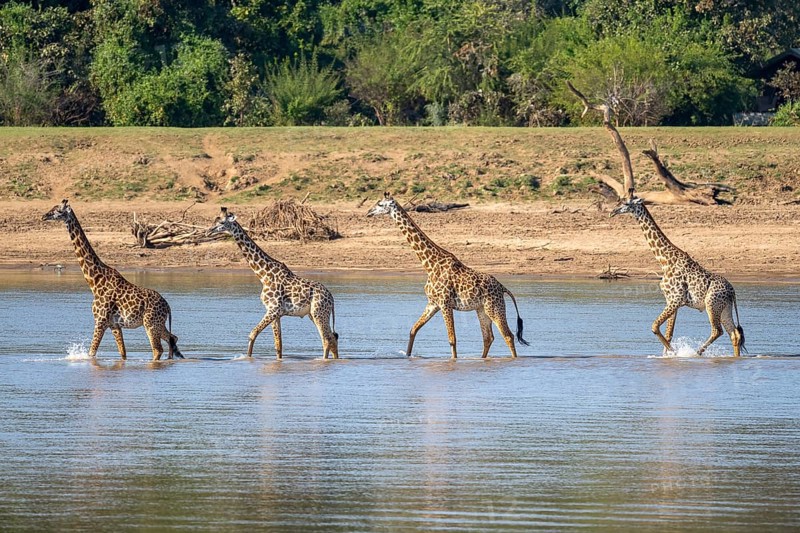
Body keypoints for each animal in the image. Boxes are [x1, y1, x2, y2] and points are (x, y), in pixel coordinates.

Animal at [42, 199, 182, 360]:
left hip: (150, 323)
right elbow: (123, 354)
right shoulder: (114, 325)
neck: (94, 282)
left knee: (158, 349)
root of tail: (168, 307)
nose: (44, 216)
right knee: (172, 338)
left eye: (58, 211)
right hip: (158, 324)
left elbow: (91, 353)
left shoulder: (100, 321)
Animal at [208, 207, 339, 359]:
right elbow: (278, 345)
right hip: (315, 314)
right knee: (332, 338)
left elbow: (252, 334)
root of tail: (331, 299)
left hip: (319, 313)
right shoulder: (275, 313)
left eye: (222, 222)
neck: (263, 275)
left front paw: (248, 358)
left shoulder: (273, 309)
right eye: (215, 220)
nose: (208, 231)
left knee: (326, 339)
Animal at [367, 192, 529, 359]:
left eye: (380, 204)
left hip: (494, 307)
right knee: (488, 337)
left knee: (508, 335)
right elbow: (413, 330)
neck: (429, 265)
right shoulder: (433, 303)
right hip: (481, 309)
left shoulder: (445, 303)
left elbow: (452, 339)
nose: (369, 212)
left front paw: (453, 360)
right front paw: (407, 356)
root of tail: (502, 287)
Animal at [612, 197, 745, 356]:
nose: (612, 211)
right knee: (734, 334)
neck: (665, 261)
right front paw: (667, 356)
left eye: (626, 203)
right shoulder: (671, 299)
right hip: (725, 308)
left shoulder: (676, 299)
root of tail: (732, 291)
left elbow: (655, 326)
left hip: (711, 304)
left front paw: (675, 352)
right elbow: (668, 333)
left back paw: (696, 353)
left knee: (717, 331)